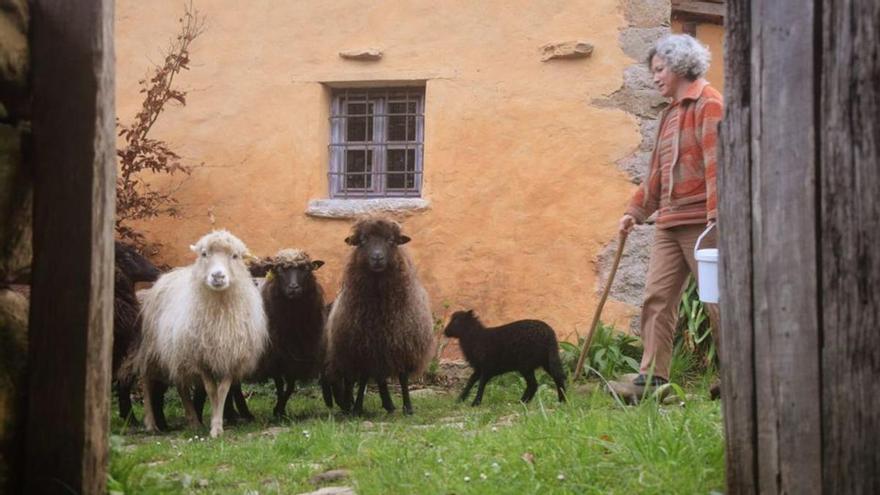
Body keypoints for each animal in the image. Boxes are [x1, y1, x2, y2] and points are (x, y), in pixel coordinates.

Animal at [133, 230, 268, 437]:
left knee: (180, 385)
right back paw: (151, 424)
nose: (218, 276)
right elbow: (211, 390)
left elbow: (222, 391)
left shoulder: (230, 357)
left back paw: (193, 421)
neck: (220, 308)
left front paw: (217, 426)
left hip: (177, 351)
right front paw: (214, 428)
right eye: (204, 254)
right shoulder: (201, 358)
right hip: (153, 347)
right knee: (147, 380)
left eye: (235, 256)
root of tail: (169, 274)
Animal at [325, 217, 434, 415]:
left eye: (391, 240)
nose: (377, 257)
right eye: (363, 240)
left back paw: (389, 405)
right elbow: (363, 379)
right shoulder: (363, 348)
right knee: (371, 378)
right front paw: (357, 408)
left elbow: (403, 378)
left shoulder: (402, 344)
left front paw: (408, 408)